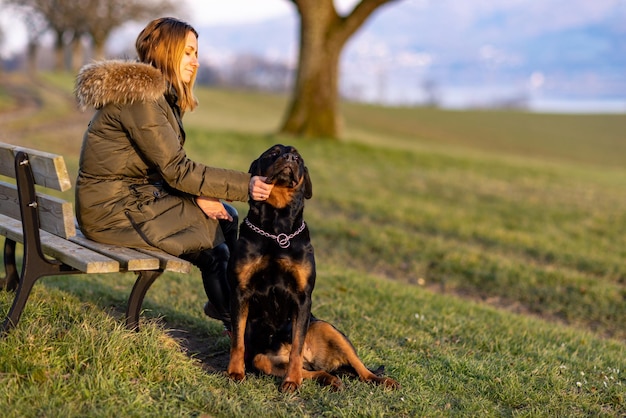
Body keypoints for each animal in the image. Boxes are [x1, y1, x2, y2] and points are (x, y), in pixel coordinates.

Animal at [227, 145, 398, 392]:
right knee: (309, 369)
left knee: (358, 367)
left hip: (327, 328)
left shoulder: (302, 297)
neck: (277, 230)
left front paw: (291, 380)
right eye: (273, 153)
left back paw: (380, 380)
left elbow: (297, 346)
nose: (289, 157)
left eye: (298, 157)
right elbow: (238, 340)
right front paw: (235, 372)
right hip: (262, 359)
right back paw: (329, 379)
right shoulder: (240, 292)